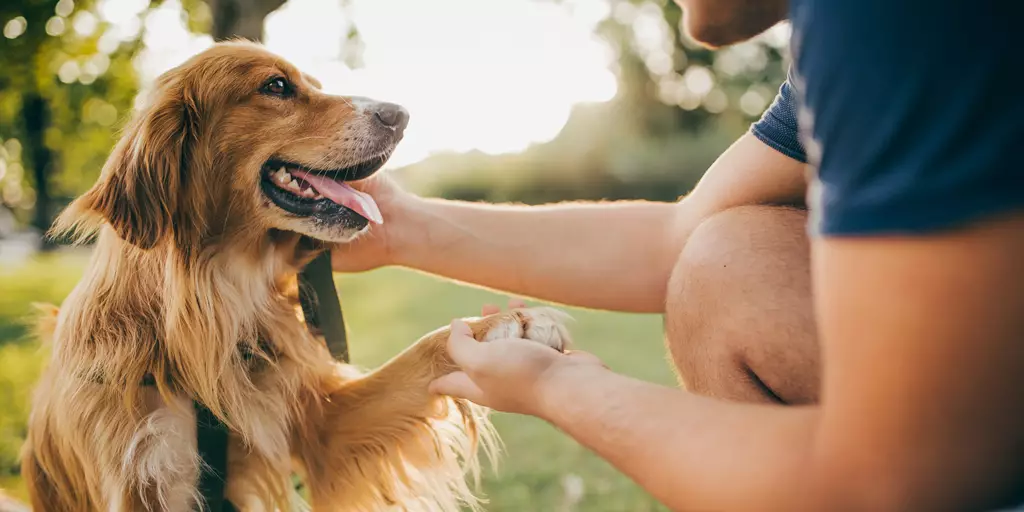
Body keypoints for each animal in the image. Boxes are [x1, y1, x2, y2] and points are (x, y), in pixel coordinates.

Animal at [19, 41, 569, 509]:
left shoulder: (320, 426)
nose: (401, 115)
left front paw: (507, 326)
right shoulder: (140, 479)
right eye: (277, 86)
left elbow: (421, 352)